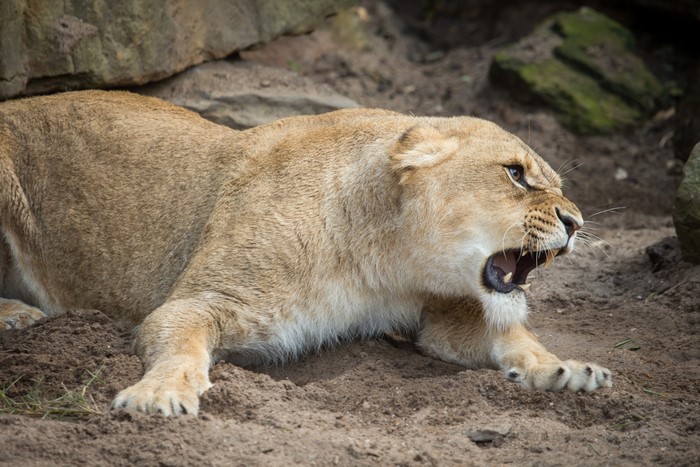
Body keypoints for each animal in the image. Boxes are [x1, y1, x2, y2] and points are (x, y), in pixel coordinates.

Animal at [0, 91, 611, 416]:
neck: (382, 262)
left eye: (556, 185)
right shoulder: (199, 300)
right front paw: (159, 394)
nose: (576, 223)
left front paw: (565, 370)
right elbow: (181, 346)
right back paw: (16, 315)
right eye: (516, 174)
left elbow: (511, 338)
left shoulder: (441, 313)